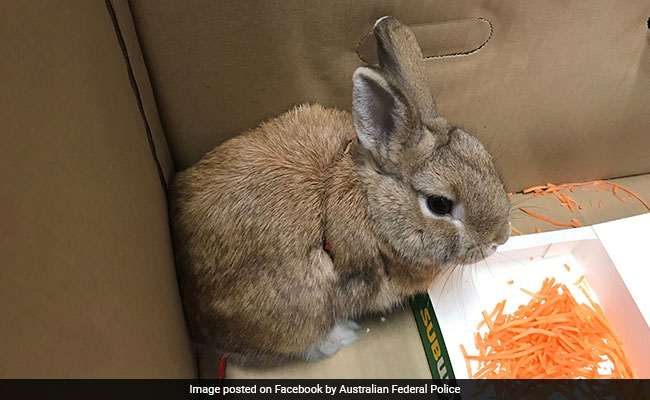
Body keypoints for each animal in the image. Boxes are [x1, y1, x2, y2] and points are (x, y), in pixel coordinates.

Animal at [169, 16, 511, 367]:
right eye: (439, 204)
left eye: (484, 157)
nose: (499, 238)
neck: (372, 209)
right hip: (294, 306)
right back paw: (341, 336)